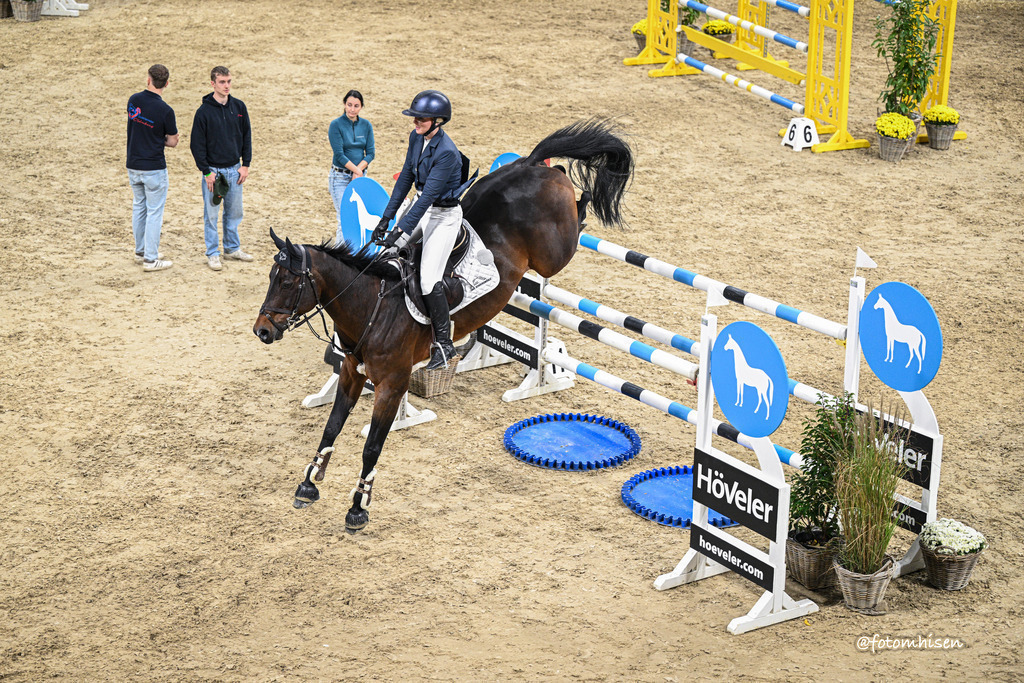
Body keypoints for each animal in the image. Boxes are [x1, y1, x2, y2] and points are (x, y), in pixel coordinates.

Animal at [253, 118, 633, 533]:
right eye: (272, 278)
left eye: (288, 282)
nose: (262, 331)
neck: (372, 305)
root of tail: (530, 164)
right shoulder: (353, 372)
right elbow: (332, 426)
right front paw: (308, 484)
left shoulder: (392, 385)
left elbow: (372, 447)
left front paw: (358, 507)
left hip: (553, 254)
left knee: (575, 213)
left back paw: (584, 202)